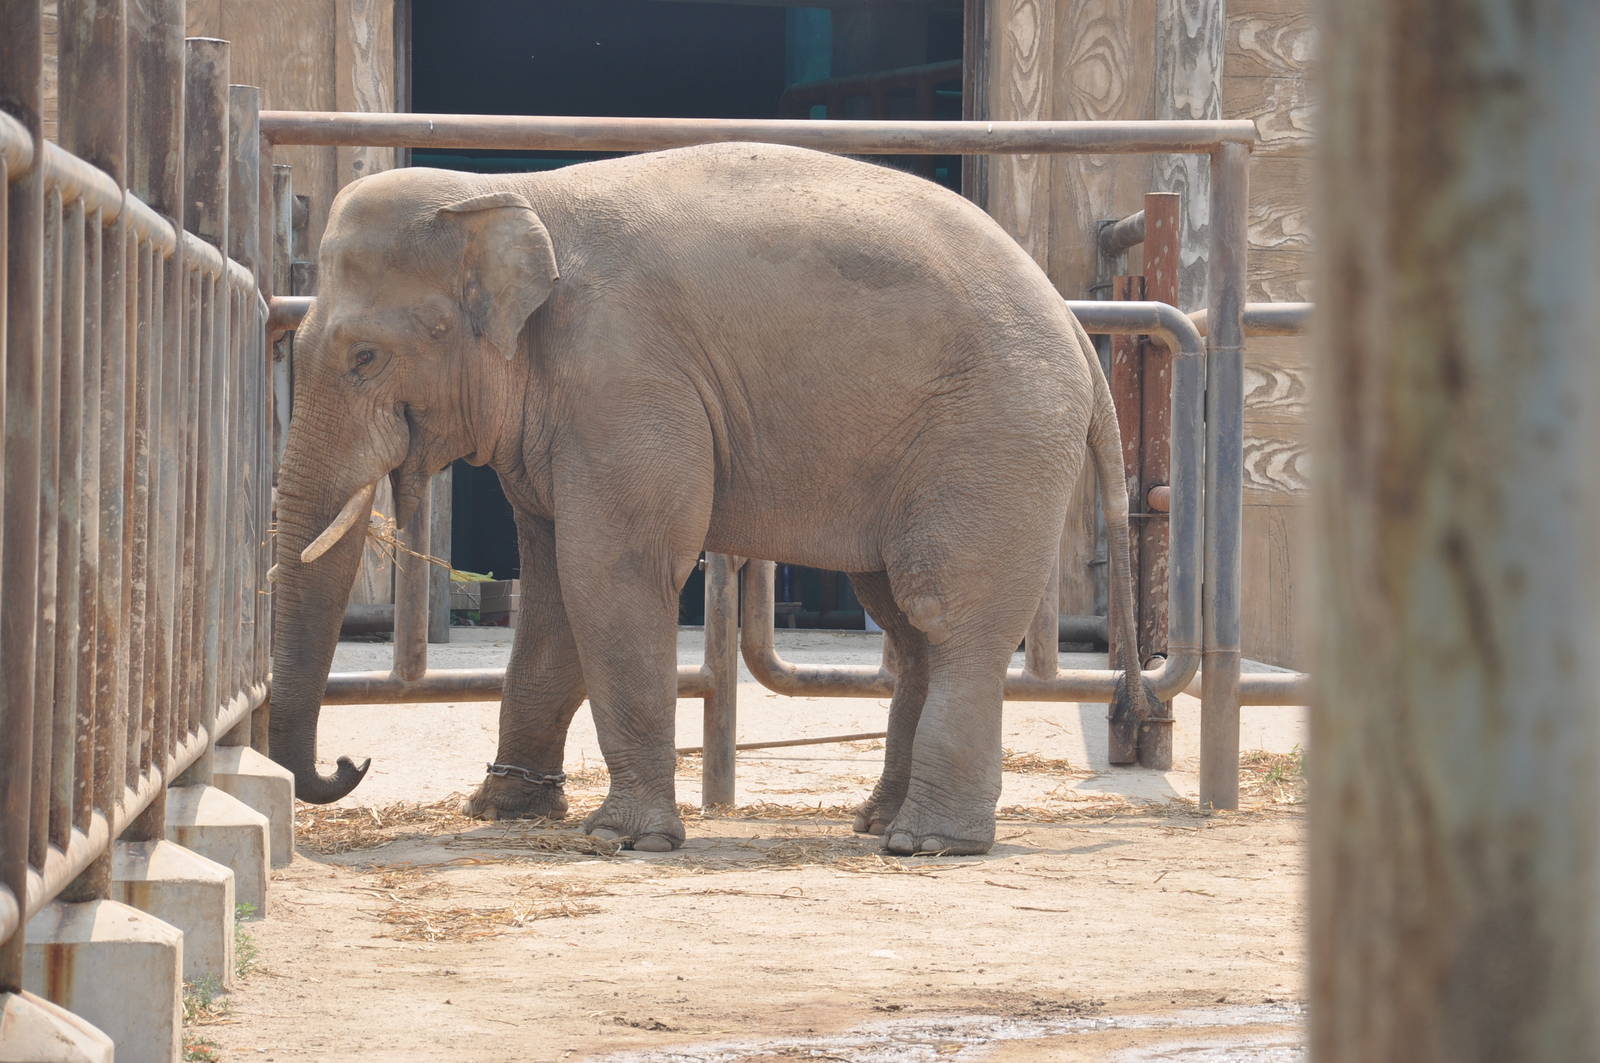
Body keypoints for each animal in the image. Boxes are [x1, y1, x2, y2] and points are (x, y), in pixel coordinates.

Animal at [269, 141, 1157, 856]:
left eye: (365, 358)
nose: (349, 762)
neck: (512, 195)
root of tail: (1071, 322)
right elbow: (552, 587)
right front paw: (502, 809)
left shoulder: (624, 376)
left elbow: (610, 572)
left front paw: (620, 841)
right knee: (905, 621)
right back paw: (877, 821)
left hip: (997, 431)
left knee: (948, 610)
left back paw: (928, 842)